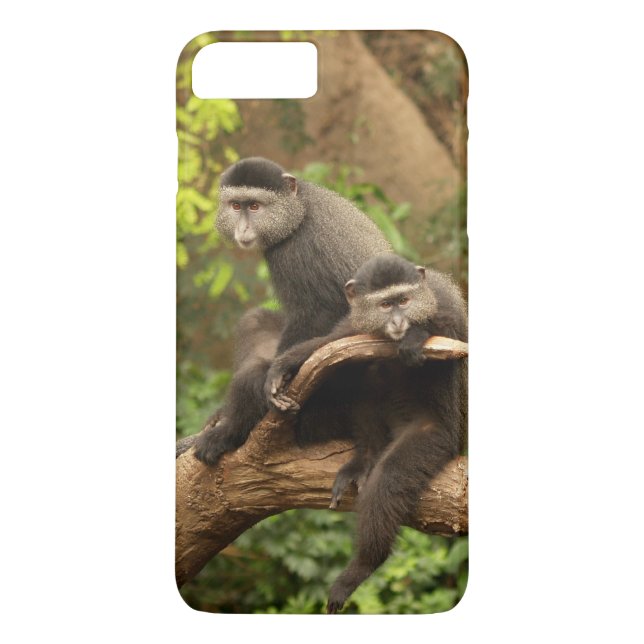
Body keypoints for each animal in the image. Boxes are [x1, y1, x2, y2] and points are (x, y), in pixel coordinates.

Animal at [193, 157, 391, 467]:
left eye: (255, 207)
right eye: (236, 206)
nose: (243, 229)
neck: (299, 210)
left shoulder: (295, 252)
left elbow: (318, 313)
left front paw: (276, 377)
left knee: (255, 373)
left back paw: (229, 432)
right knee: (254, 321)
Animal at [263, 254, 467, 613]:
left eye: (404, 301)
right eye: (385, 305)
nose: (399, 321)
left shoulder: (443, 307)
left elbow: (449, 336)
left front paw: (416, 335)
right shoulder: (356, 323)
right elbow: (334, 343)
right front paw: (283, 366)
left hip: (440, 436)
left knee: (389, 478)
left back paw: (363, 566)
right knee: (361, 371)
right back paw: (366, 457)